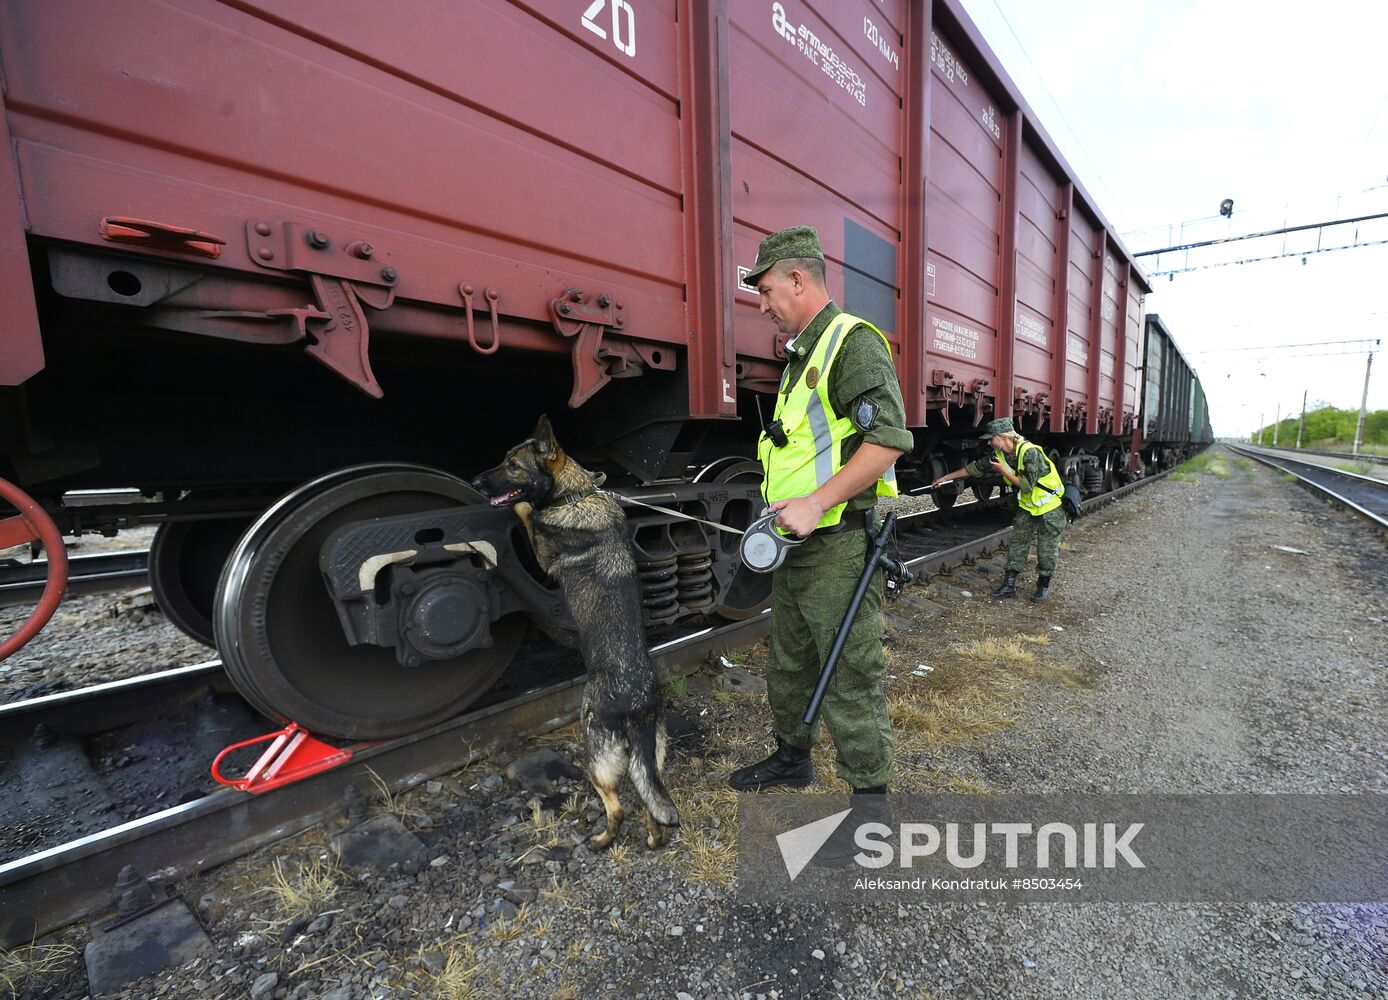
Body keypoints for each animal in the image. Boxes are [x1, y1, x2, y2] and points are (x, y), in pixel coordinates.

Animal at [471, 416, 677, 849]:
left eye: (512, 465)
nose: (475, 481)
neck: (576, 494)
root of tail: (636, 706)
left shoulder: (543, 553)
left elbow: (528, 513)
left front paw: (523, 506)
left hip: (595, 756)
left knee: (618, 806)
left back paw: (601, 841)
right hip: (649, 759)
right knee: (651, 801)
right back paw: (651, 839)